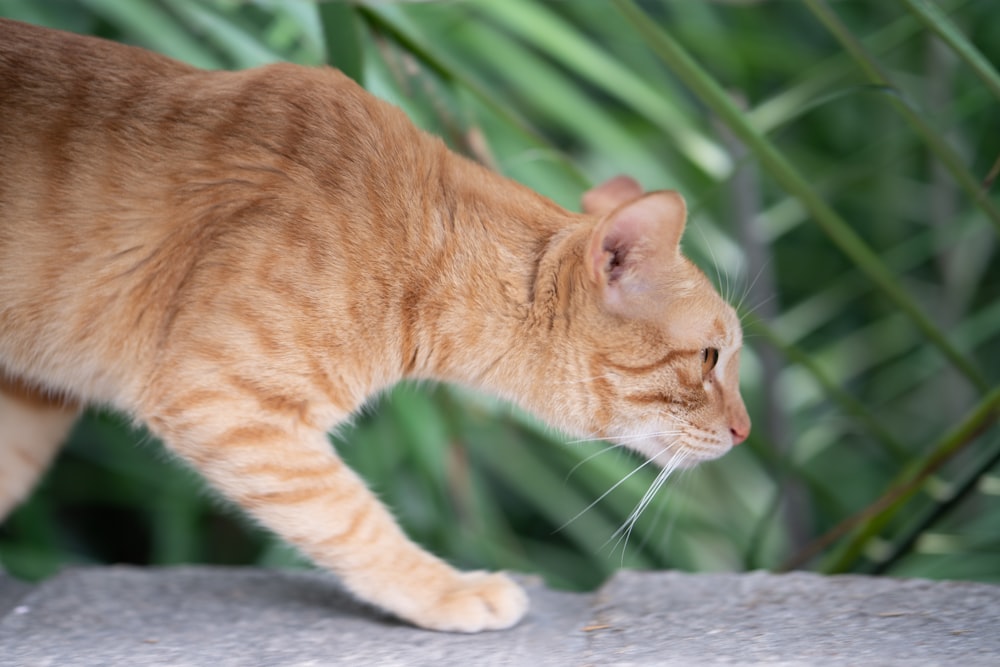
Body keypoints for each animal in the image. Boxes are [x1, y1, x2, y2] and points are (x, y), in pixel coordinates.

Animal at [0, 17, 752, 632]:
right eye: (711, 358)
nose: (747, 432)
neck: (422, 250)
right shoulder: (218, 400)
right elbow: (351, 516)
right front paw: (446, 590)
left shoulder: (29, 407)